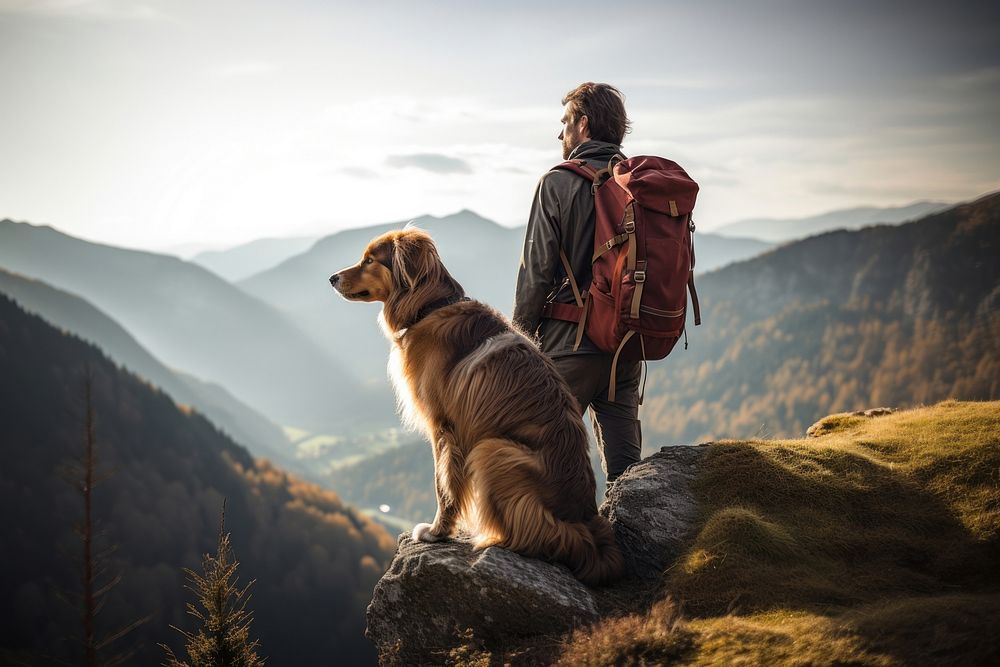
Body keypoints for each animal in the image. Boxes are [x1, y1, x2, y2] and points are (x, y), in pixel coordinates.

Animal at [328, 226, 624, 584]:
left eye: (370, 259)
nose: (332, 278)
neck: (429, 306)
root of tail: (585, 519)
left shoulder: (444, 427)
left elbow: (444, 486)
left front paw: (437, 532)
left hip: (493, 450)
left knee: (545, 535)